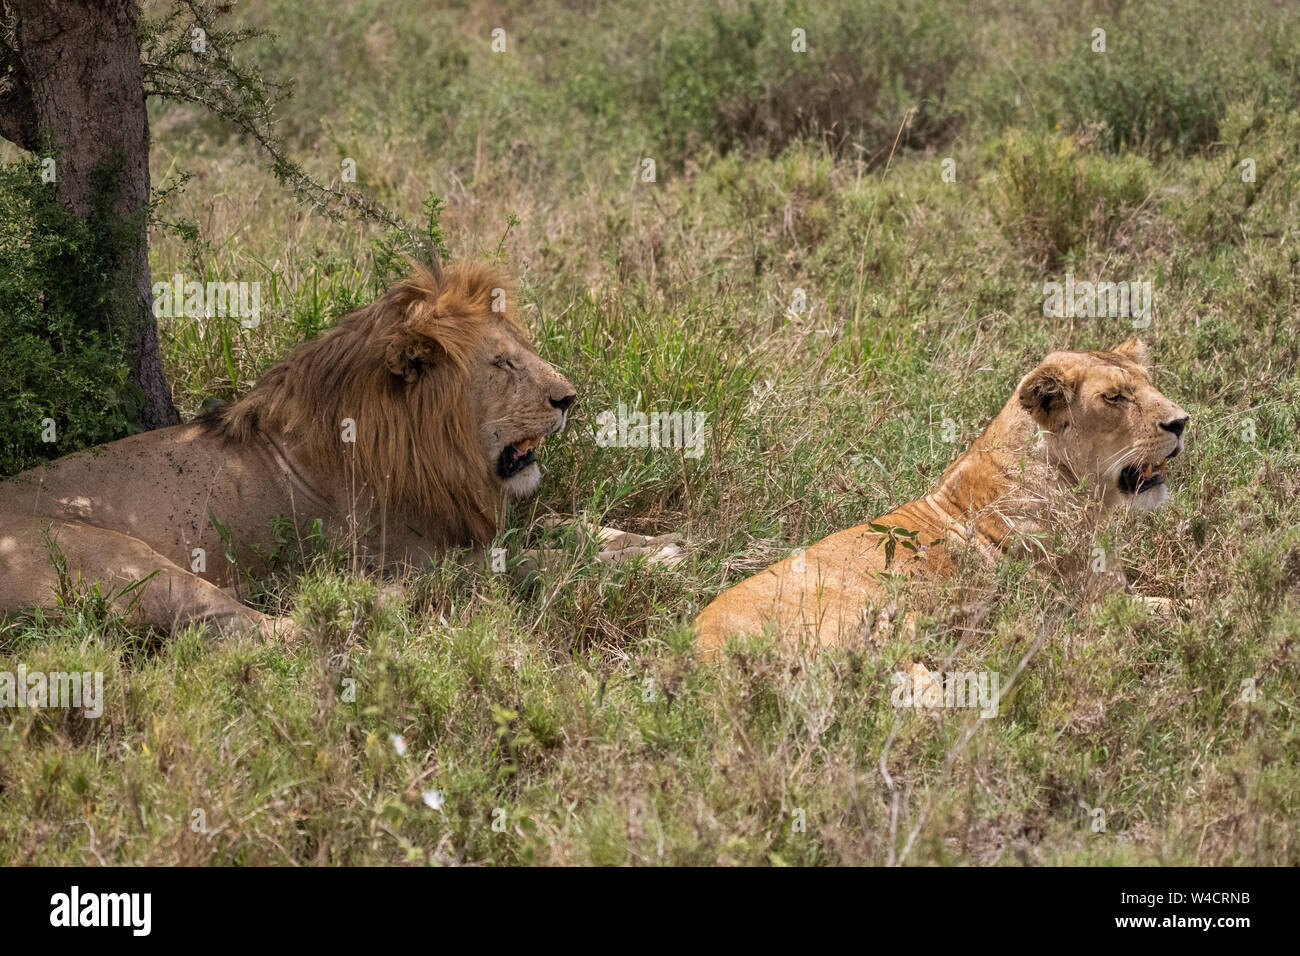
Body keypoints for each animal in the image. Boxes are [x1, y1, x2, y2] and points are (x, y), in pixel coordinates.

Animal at [0, 261, 670, 639]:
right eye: (503, 364)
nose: (569, 398)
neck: (428, 452)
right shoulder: (422, 552)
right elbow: (539, 562)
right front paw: (649, 565)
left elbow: (569, 525)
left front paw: (657, 543)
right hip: (118, 560)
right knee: (256, 632)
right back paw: (375, 601)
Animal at [696, 340, 1190, 660]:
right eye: (1115, 396)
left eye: (1149, 384)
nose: (1182, 422)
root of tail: (700, 649)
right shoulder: (1088, 606)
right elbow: (1177, 612)